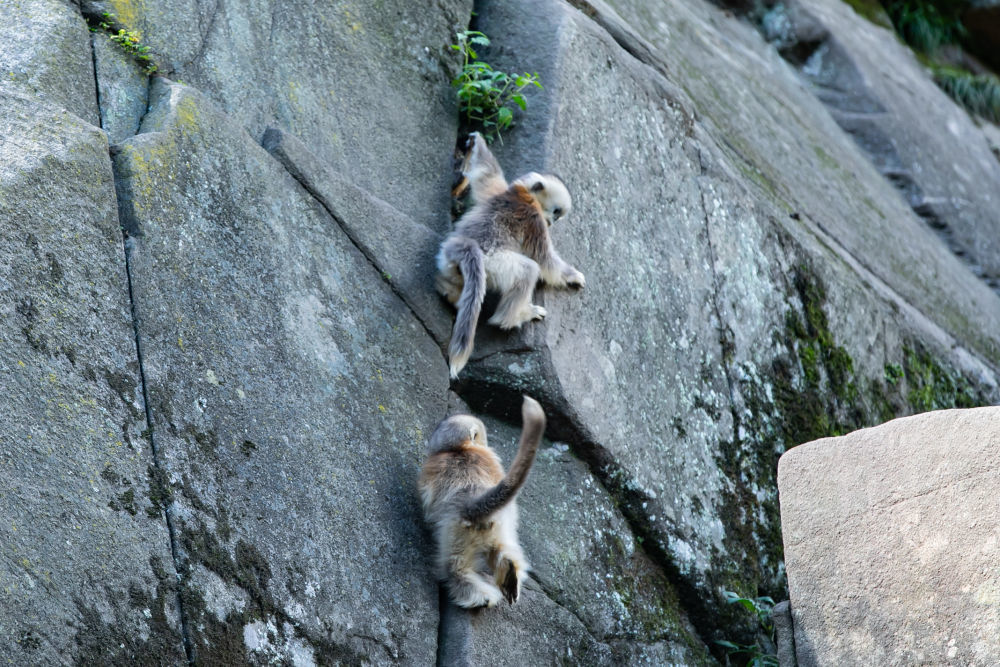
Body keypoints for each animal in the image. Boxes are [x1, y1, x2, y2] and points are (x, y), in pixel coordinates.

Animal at [420, 396, 552, 612]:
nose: (486, 441)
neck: (459, 449)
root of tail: (471, 505)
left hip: (455, 532)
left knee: (454, 566)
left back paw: (477, 594)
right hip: (499, 525)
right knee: (501, 549)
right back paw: (509, 575)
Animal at [438, 133, 584, 378]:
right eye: (556, 212)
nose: (553, 222)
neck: (522, 194)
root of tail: (463, 248)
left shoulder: (497, 189)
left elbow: (487, 171)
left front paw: (475, 141)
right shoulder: (535, 220)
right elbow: (545, 261)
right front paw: (572, 275)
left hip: (448, 264)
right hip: (495, 265)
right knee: (529, 269)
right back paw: (513, 317)